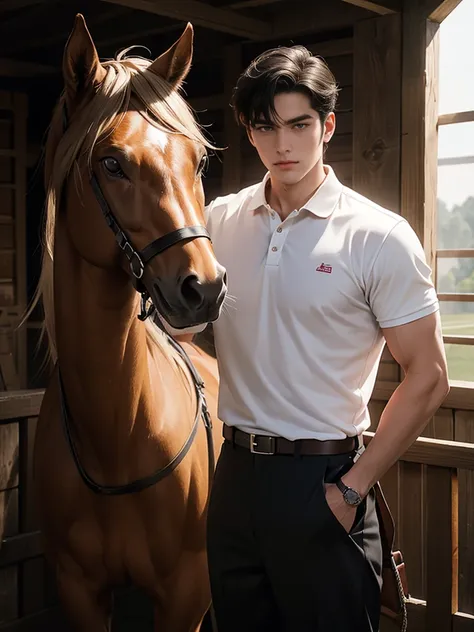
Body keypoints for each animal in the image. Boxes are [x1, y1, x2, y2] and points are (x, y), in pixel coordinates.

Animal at [32, 14, 227, 632]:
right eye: (112, 163)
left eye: (197, 162)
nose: (204, 288)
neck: (115, 436)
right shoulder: (79, 591)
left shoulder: (186, 593)